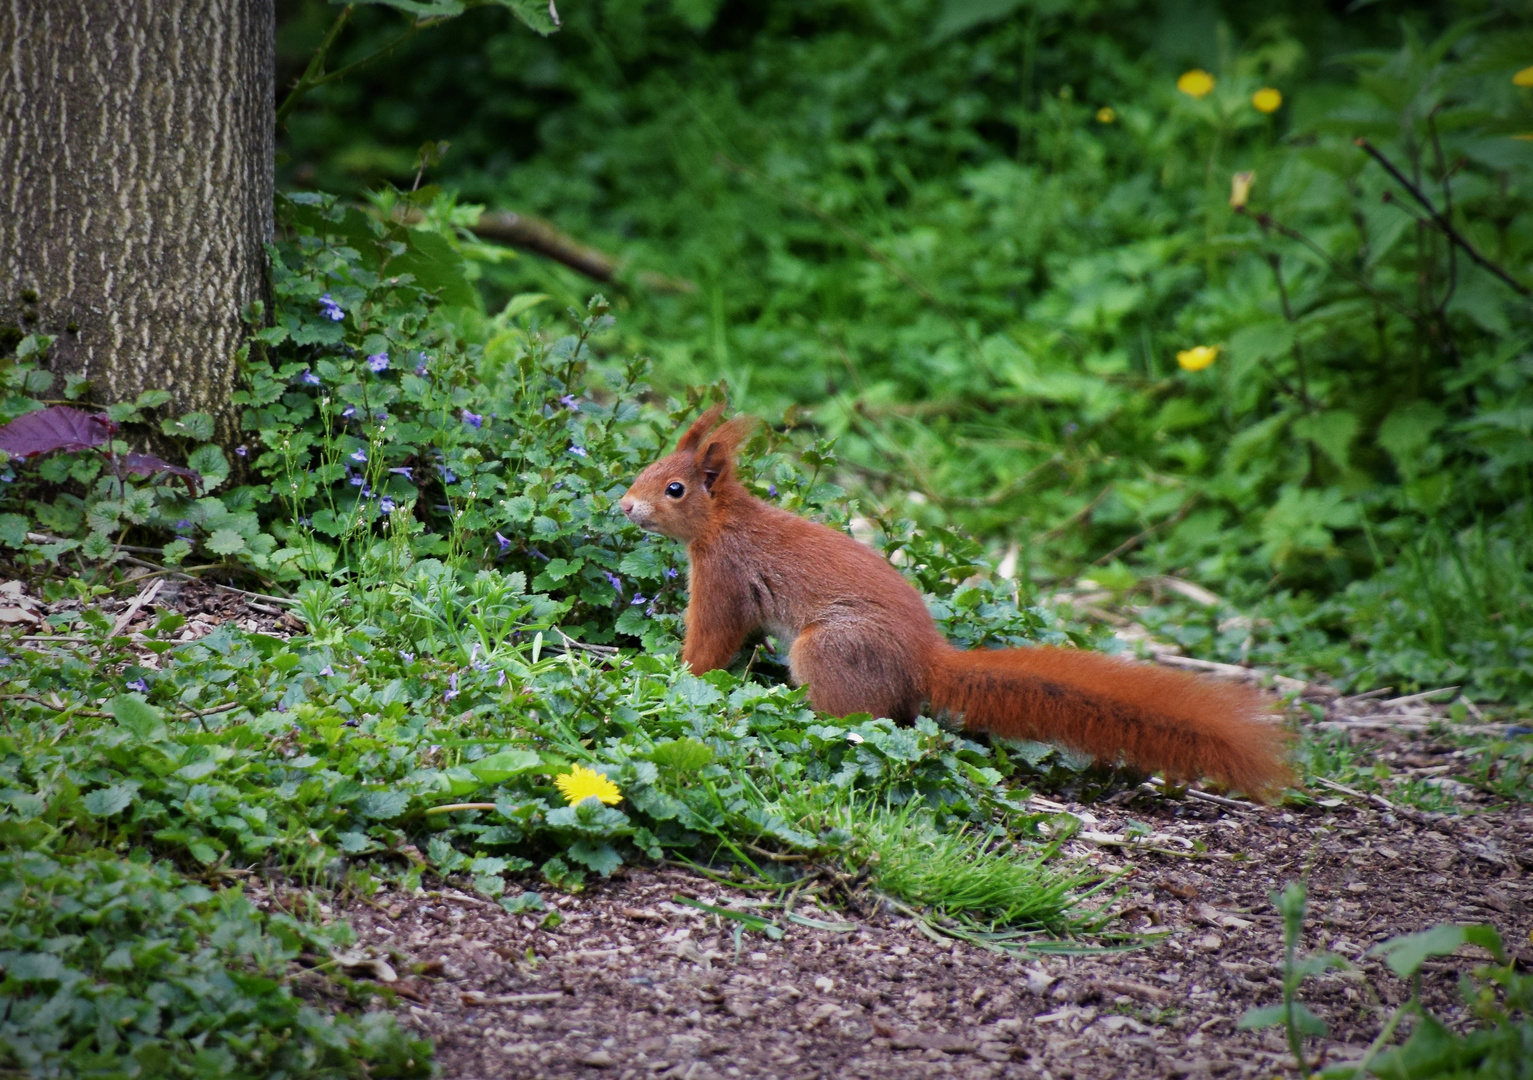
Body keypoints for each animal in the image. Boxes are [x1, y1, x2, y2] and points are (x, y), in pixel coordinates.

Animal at [616, 401, 1287, 790]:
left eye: (674, 489)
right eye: (647, 469)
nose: (623, 506)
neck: (724, 522)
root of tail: (925, 661)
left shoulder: (725, 577)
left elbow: (711, 641)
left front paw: (671, 674)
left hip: (830, 651)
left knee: (855, 717)